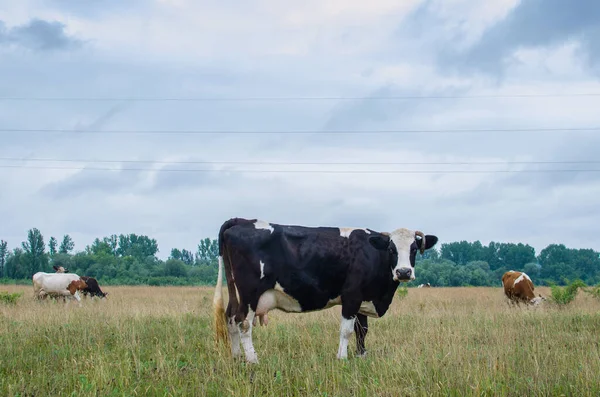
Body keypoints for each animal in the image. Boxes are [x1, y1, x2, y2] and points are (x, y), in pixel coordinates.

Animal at [213, 218, 438, 364]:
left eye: (414, 249)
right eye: (391, 249)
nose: (404, 272)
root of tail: (241, 221)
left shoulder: (363, 300)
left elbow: (362, 330)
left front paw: (361, 356)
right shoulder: (352, 296)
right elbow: (347, 330)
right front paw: (342, 358)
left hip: (235, 290)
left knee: (230, 317)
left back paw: (237, 357)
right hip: (250, 293)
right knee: (242, 323)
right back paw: (252, 360)